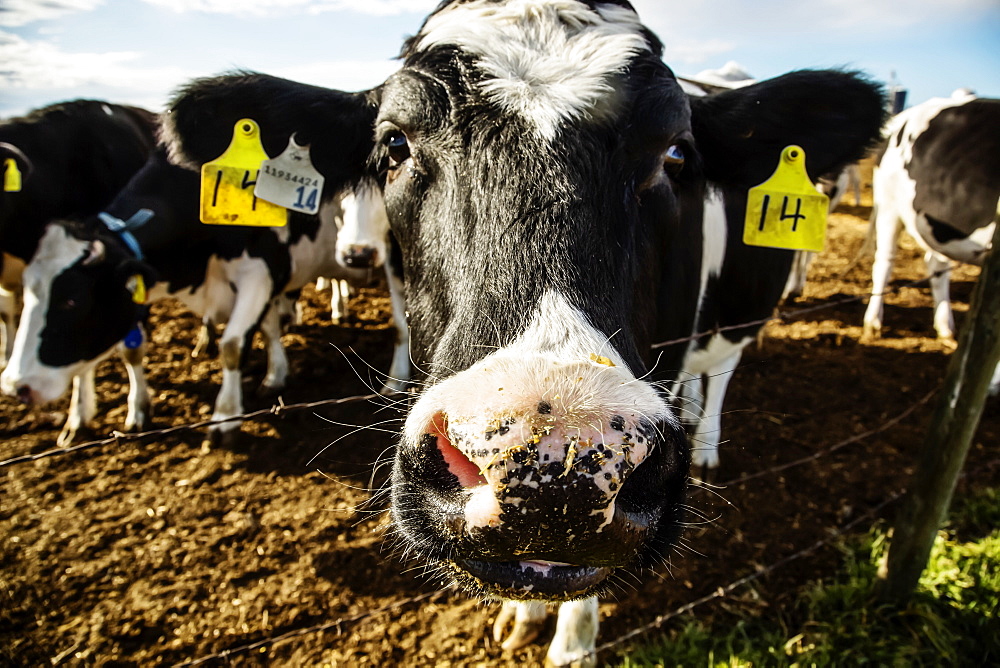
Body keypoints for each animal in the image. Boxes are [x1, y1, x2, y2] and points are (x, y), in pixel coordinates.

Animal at [0, 149, 406, 446]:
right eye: (31, 290)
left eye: (71, 301)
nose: (16, 386)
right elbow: (124, 351)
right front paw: (98, 415)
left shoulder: (260, 271)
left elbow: (232, 346)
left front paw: (224, 416)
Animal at [158, 1, 884, 664]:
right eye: (394, 144)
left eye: (677, 153)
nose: (553, 470)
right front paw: (526, 614)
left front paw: (572, 642)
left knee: (723, 369)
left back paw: (706, 442)